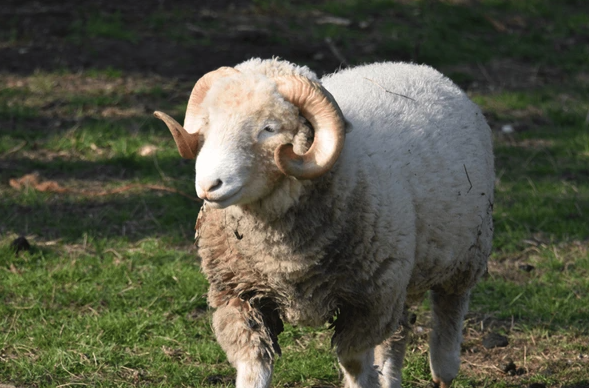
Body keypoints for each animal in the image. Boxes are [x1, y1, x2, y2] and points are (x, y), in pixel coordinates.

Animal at [154, 57, 494, 388]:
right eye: (208, 125)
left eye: (269, 128)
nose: (209, 185)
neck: (283, 258)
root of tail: (414, 65)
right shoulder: (239, 297)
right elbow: (253, 370)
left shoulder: (369, 303)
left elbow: (355, 364)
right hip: (404, 280)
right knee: (396, 338)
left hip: (463, 262)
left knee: (448, 321)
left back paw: (443, 370)